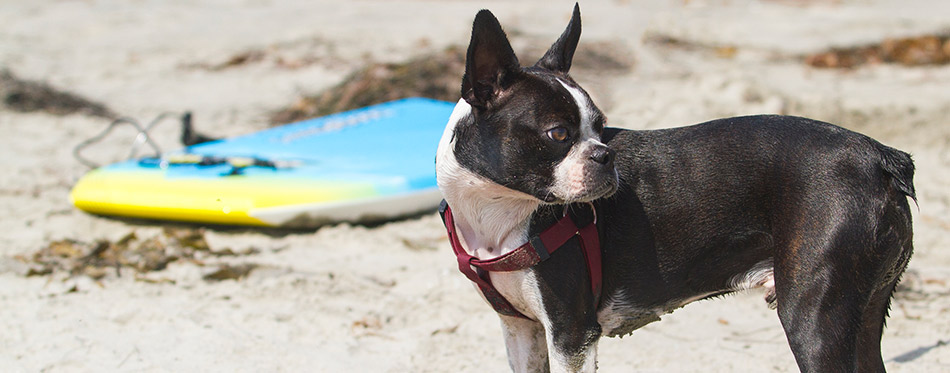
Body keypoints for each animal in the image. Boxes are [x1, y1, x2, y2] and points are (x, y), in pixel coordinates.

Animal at [436, 3, 920, 372]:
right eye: (558, 134)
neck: (497, 211)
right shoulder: (522, 329)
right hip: (863, 313)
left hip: (813, 316)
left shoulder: (571, 335)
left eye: (601, 127)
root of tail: (877, 155)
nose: (605, 155)